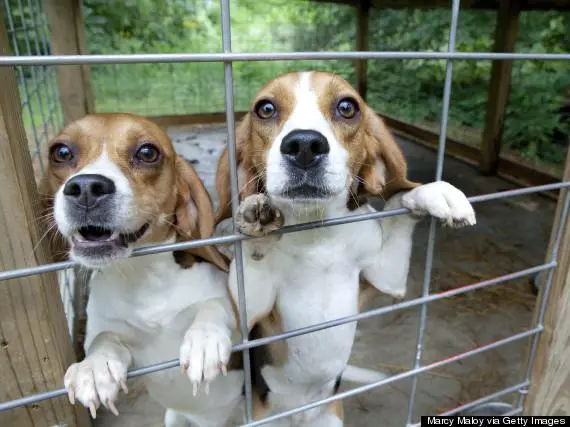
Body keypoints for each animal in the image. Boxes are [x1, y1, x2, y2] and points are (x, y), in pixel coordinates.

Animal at [38, 113, 243, 427]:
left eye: (147, 152)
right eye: (61, 152)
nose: (86, 188)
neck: (143, 277)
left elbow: (213, 306)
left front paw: (204, 340)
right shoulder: (114, 331)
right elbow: (103, 338)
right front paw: (94, 368)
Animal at [213, 72, 474, 426]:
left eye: (347, 107)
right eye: (265, 108)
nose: (304, 145)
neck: (317, 239)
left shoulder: (388, 278)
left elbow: (399, 198)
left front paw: (434, 193)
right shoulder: (250, 312)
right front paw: (256, 217)